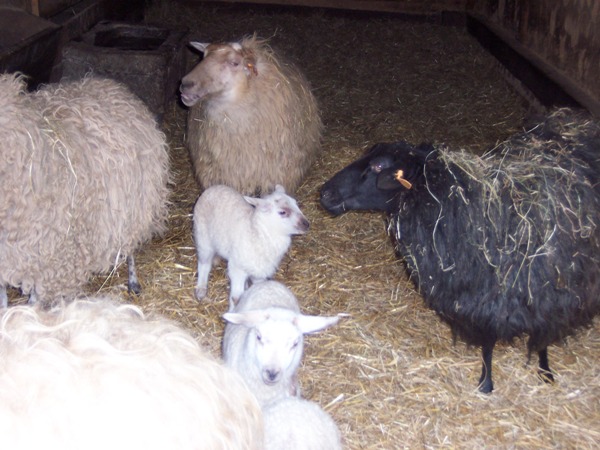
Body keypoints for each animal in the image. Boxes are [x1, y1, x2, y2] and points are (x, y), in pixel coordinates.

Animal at [0, 73, 170, 307]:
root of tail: (113, 86)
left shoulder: (49, 261)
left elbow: (33, 304)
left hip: (135, 206)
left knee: (129, 249)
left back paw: (133, 282)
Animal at [320, 108, 600, 393]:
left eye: (378, 166)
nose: (324, 193)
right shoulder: (475, 297)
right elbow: (488, 341)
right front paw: (486, 382)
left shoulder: (552, 294)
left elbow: (540, 335)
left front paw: (544, 371)